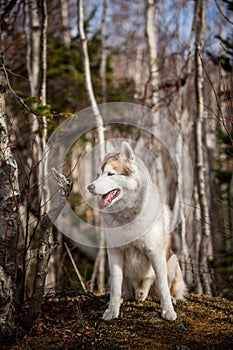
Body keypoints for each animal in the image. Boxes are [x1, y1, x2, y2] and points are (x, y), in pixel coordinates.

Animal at [86, 142, 187, 320]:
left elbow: (163, 286)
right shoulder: (115, 253)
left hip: (172, 261)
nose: (90, 187)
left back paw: (168, 299)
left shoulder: (155, 253)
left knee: (160, 289)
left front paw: (168, 311)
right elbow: (116, 287)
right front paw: (112, 310)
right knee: (124, 290)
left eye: (110, 174)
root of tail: (140, 293)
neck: (128, 216)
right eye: (98, 175)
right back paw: (122, 299)